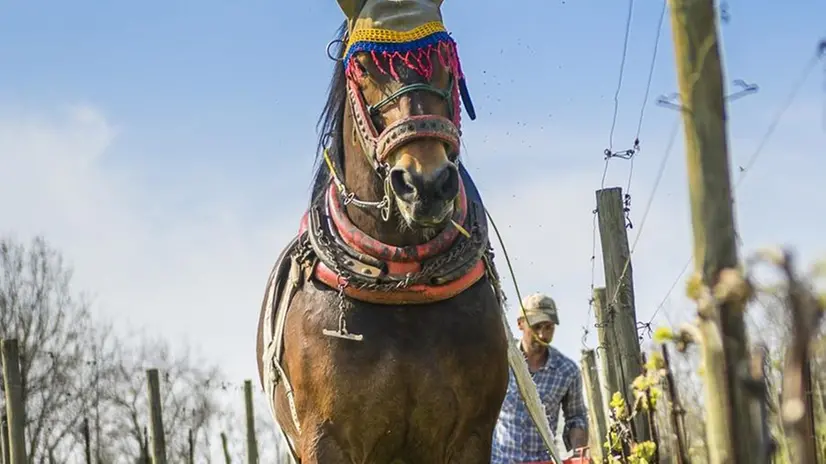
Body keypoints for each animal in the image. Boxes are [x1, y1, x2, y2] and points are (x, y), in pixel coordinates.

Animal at [254, 1, 552, 462]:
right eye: (362, 65)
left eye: (445, 56)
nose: (426, 183)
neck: (401, 287)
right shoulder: (322, 439)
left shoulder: (470, 435)